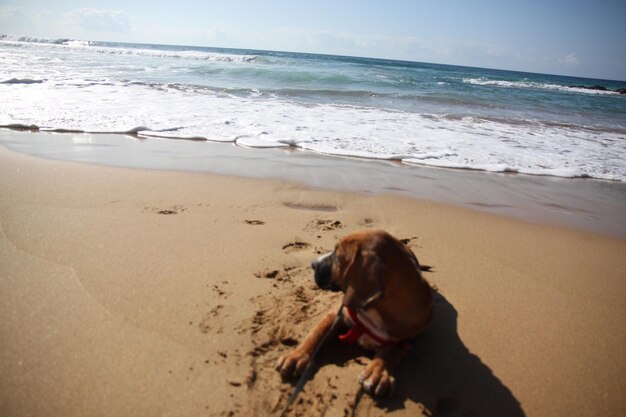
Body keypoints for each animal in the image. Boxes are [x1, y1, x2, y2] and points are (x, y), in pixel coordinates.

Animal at [276, 229, 432, 394]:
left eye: (338, 257)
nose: (313, 263)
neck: (373, 311)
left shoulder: (404, 342)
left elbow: (390, 353)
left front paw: (378, 372)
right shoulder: (336, 314)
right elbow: (315, 334)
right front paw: (296, 356)